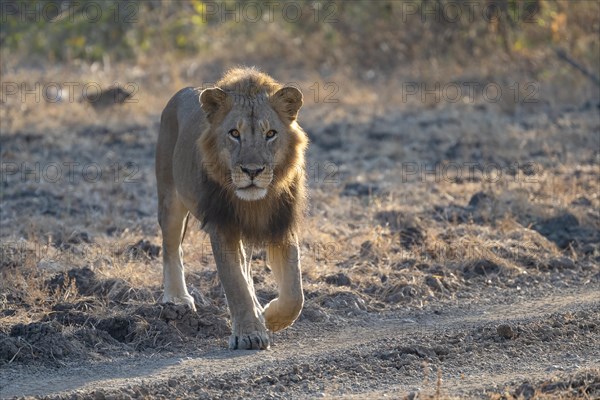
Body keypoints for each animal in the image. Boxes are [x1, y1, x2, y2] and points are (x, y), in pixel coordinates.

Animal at [155, 68, 308, 350]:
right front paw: (249, 333)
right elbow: (235, 284)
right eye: (234, 133)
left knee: (246, 265)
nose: (252, 171)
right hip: (170, 199)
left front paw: (270, 318)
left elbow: (294, 292)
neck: (254, 202)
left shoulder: (281, 224)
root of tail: (182, 92)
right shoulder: (222, 226)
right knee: (172, 248)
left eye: (271, 134)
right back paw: (177, 299)